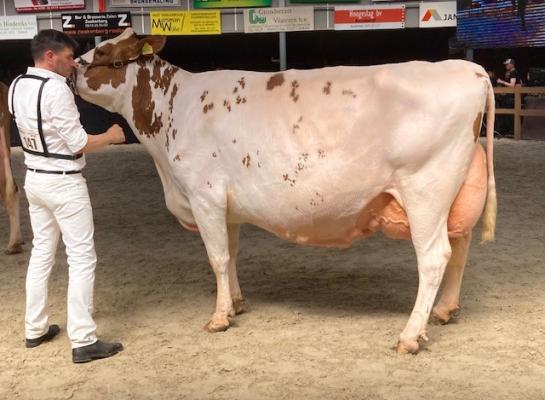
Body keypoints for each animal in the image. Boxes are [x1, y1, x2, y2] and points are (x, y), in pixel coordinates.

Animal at [74, 28, 496, 354]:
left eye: (106, 53)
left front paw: (218, 318)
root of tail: (469, 68)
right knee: (460, 245)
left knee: (435, 257)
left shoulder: (204, 195)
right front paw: (236, 304)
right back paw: (445, 310)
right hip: (454, 190)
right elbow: (232, 254)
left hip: (425, 190)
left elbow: (217, 258)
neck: (174, 111)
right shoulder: (226, 205)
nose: (74, 66)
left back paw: (409, 336)